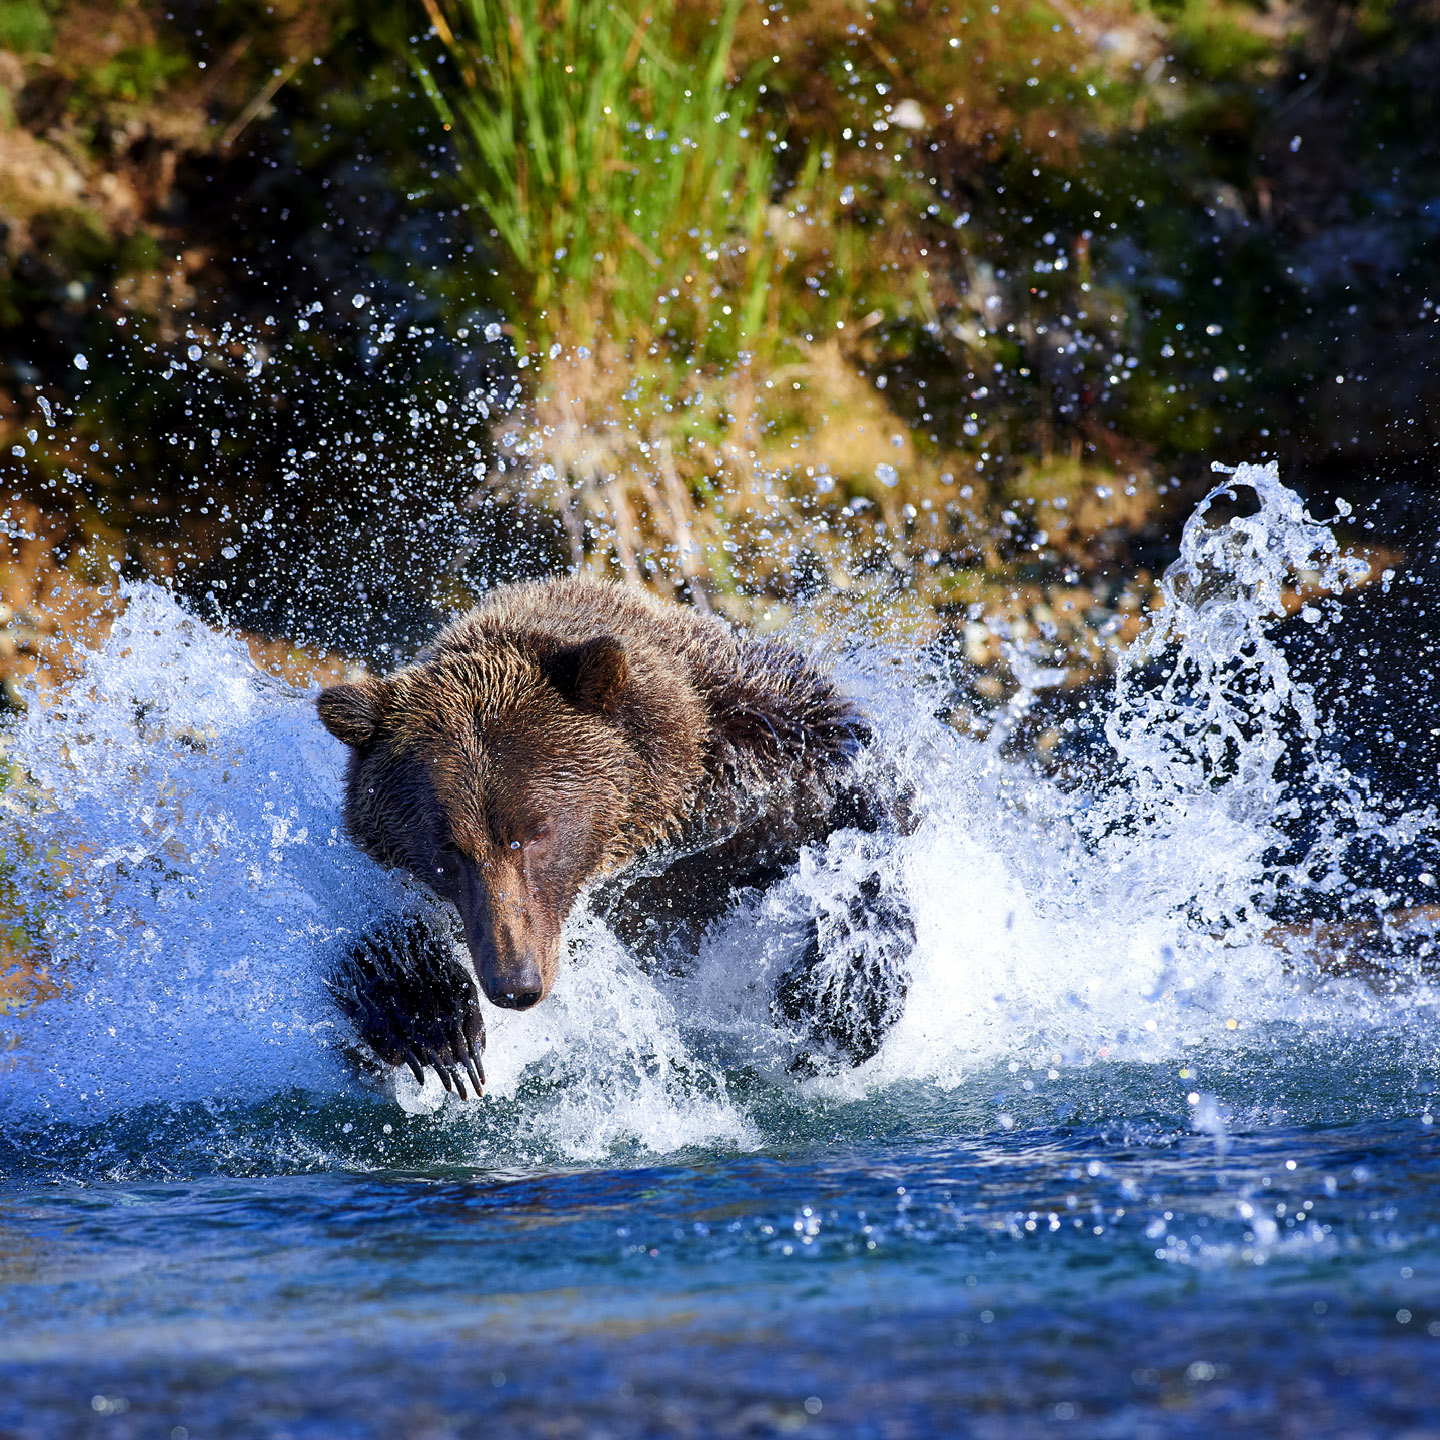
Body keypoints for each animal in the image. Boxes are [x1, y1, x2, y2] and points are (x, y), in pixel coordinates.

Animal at [321, 570, 910, 1088]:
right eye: (448, 849)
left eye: (532, 834)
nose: (515, 983)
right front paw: (437, 1025)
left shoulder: (783, 762)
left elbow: (867, 844)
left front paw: (836, 1001)